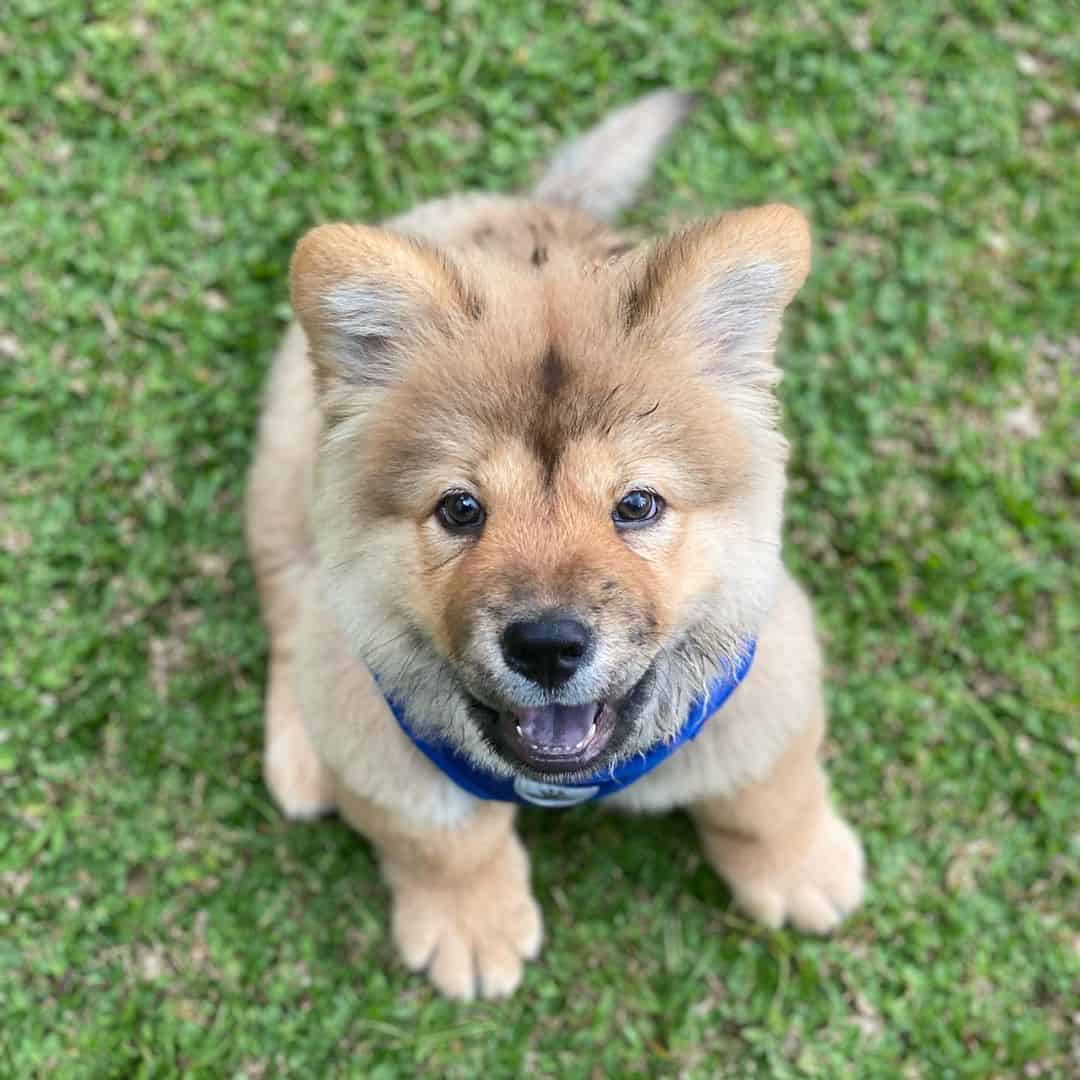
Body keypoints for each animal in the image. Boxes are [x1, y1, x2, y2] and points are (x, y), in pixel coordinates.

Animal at [248, 92, 864, 1002]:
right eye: (460, 509)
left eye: (636, 506)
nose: (546, 646)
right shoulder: (373, 721)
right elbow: (441, 837)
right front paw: (471, 924)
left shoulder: (766, 666)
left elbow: (767, 791)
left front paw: (802, 870)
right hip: (288, 475)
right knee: (291, 604)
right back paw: (298, 755)